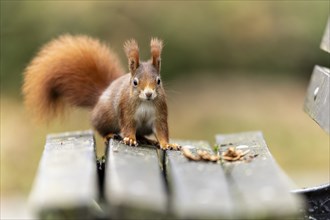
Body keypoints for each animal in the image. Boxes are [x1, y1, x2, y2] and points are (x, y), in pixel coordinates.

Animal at [22, 35, 180, 150]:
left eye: (158, 81)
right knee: (101, 129)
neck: (144, 102)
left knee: (141, 135)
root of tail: (100, 95)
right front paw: (129, 138)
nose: (149, 94)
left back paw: (148, 140)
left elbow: (162, 131)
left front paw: (167, 144)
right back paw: (110, 135)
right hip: (104, 117)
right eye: (135, 82)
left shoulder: (159, 114)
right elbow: (128, 126)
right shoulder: (126, 110)